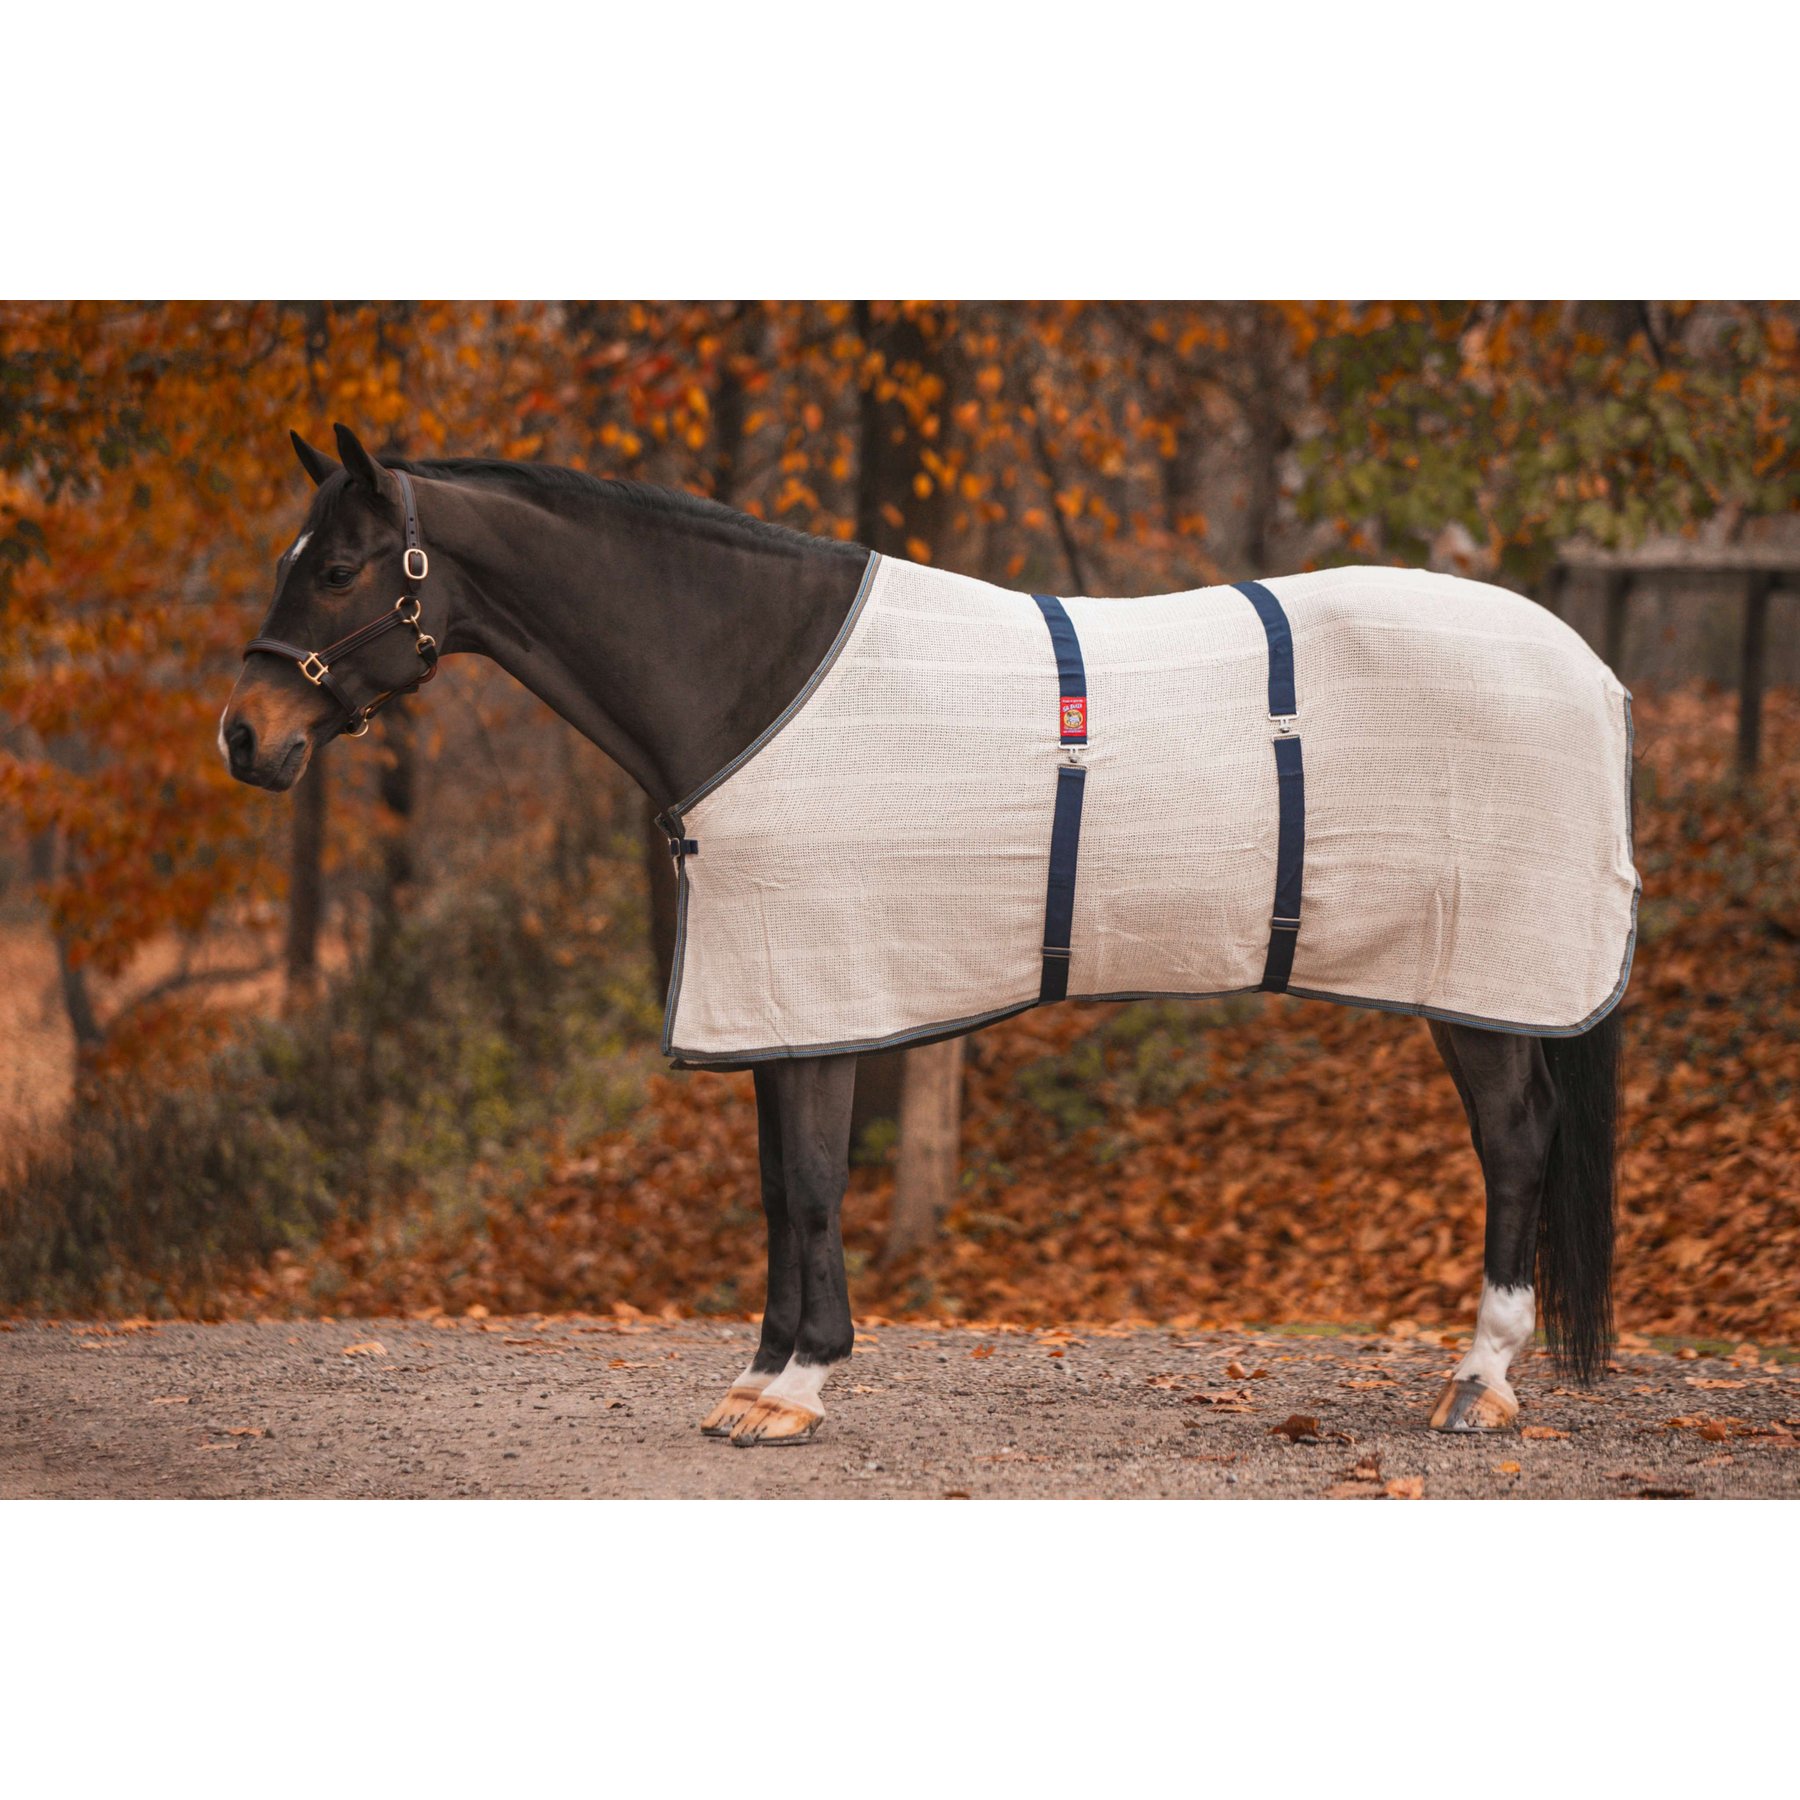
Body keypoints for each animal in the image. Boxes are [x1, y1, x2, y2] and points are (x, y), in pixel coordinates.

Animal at [219, 424, 1629, 1447]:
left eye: (335, 569)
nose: (244, 736)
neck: (753, 678)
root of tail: (1590, 667)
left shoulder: (825, 985)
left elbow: (811, 1184)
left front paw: (796, 1391)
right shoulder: (779, 1000)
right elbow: (778, 1188)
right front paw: (760, 1378)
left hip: (1480, 975)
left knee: (1515, 1142)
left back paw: (1480, 1380)